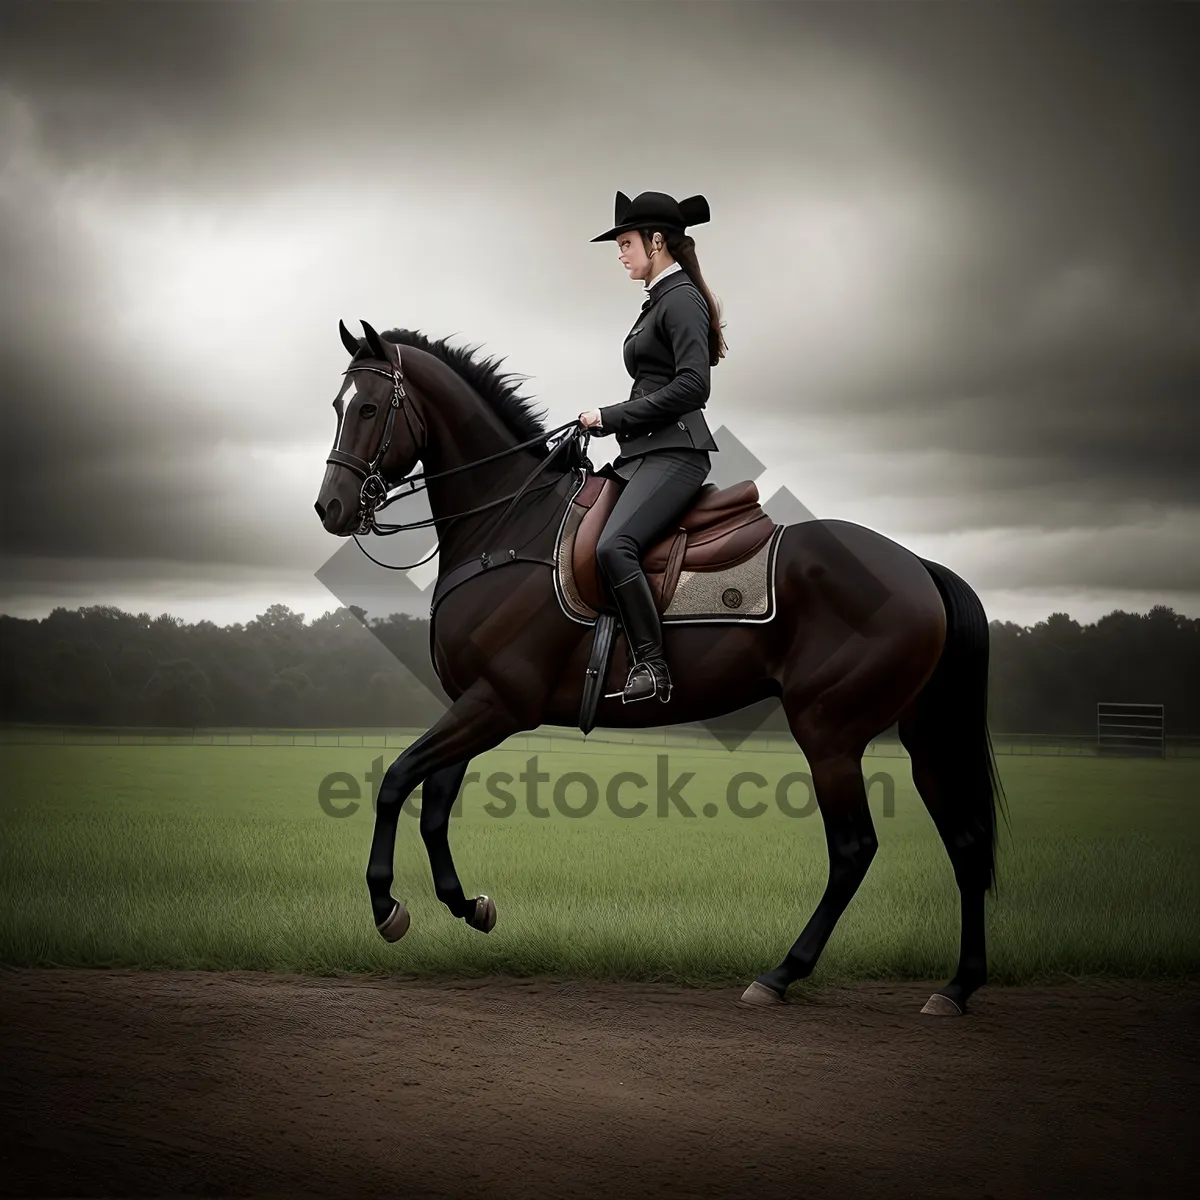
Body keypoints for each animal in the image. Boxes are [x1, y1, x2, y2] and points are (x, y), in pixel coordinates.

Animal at [314, 319, 1008, 1012]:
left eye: (369, 408)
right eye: (337, 406)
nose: (331, 509)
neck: (510, 523)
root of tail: (918, 566)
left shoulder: (498, 703)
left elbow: (395, 781)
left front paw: (387, 907)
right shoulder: (473, 701)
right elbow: (433, 804)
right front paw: (469, 906)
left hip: (829, 734)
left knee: (854, 849)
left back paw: (781, 974)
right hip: (923, 735)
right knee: (966, 840)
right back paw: (957, 985)